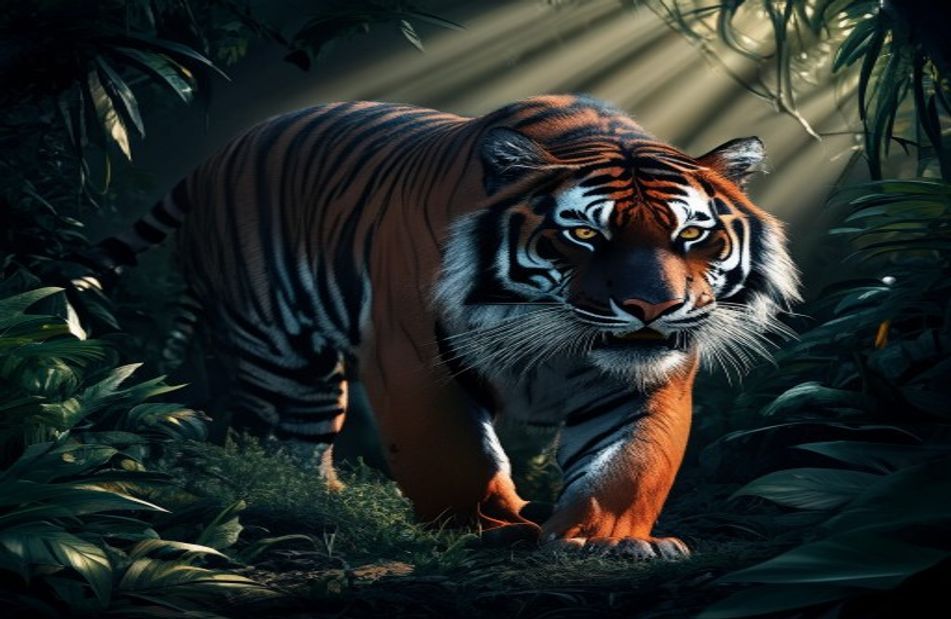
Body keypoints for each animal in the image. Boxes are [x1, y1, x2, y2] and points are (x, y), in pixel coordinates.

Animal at [80, 95, 800, 557]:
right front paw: (489, 531)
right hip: (277, 353)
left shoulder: (644, 381)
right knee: (269, 440)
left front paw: (606, 542)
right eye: (584, 234)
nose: (651, 307)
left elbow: (627, 463)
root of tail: (217, 154)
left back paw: (327, 503)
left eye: (692, 235)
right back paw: (292, 507)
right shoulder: (413, 356)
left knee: (304, 445)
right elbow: (455, 455)